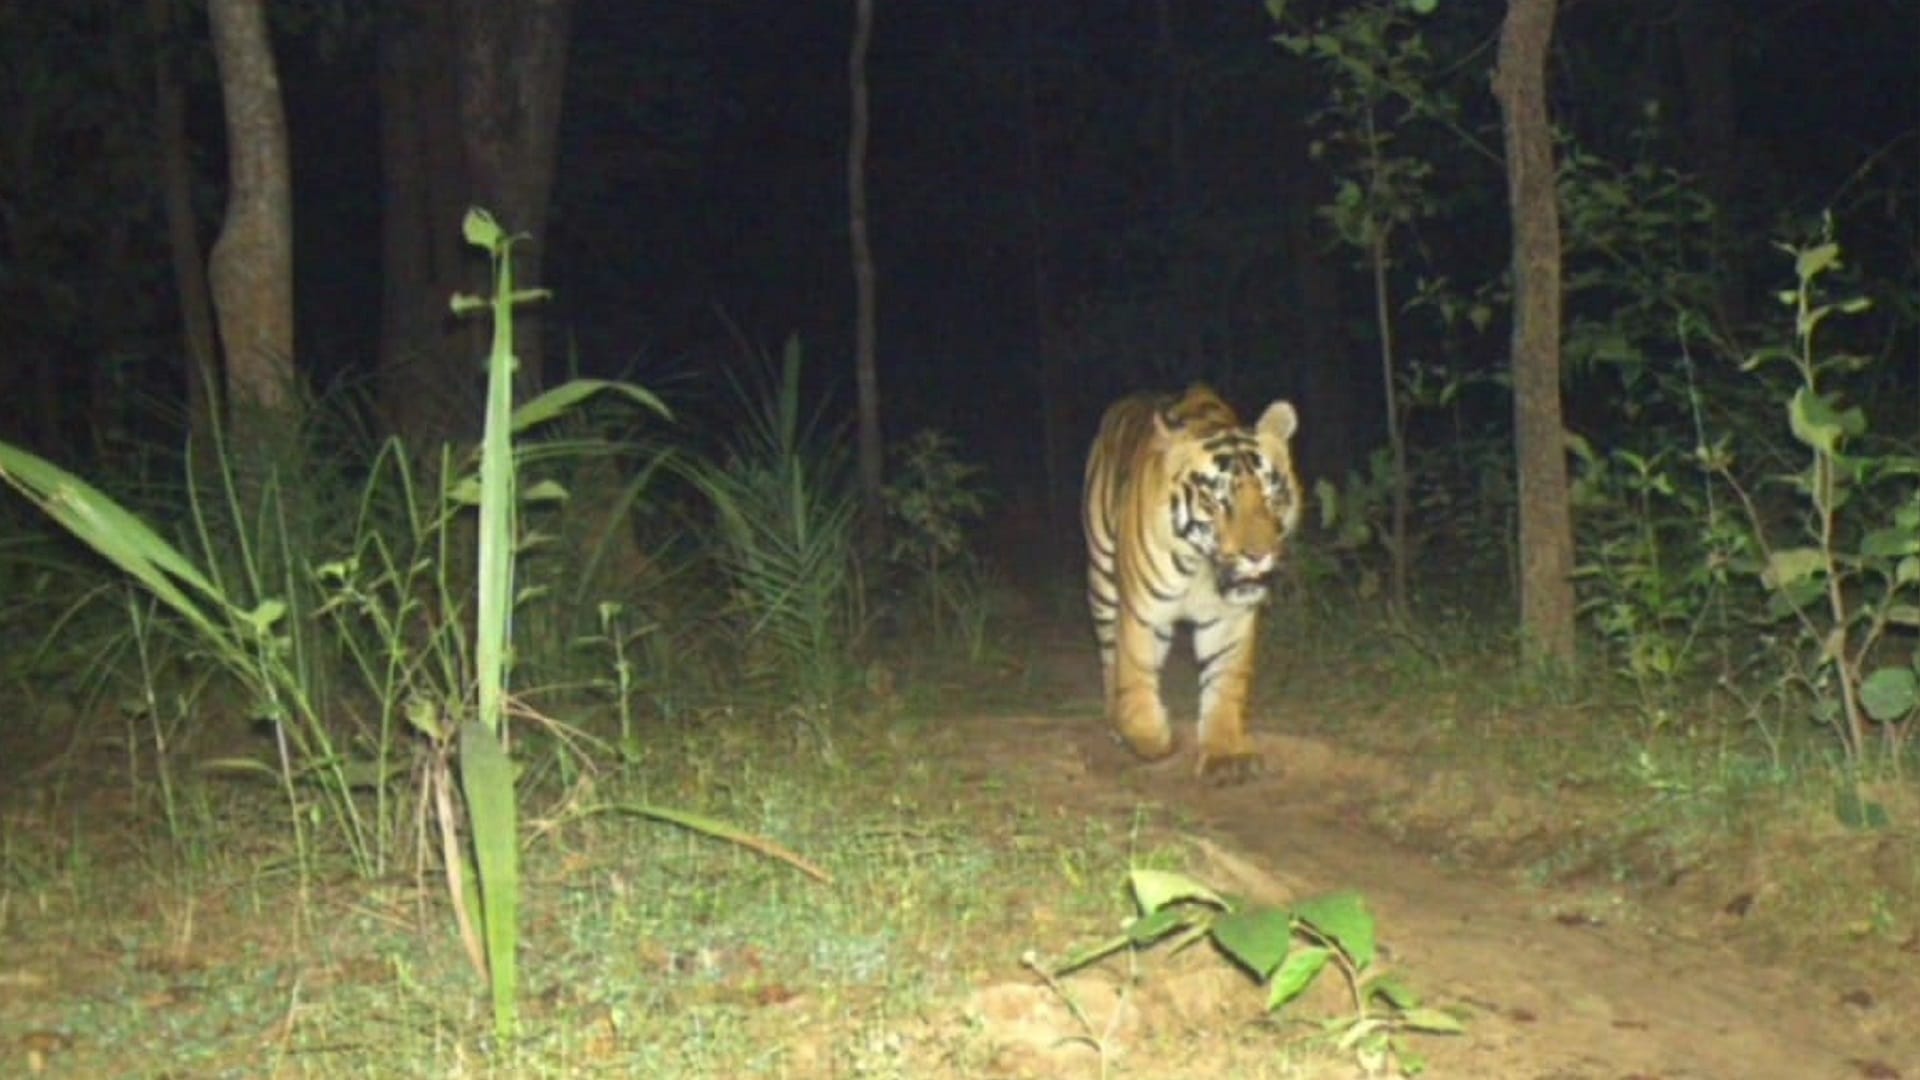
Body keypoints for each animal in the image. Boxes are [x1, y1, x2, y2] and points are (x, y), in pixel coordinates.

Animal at [1081, 384, 1302, 780]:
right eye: (1219, 501)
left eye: (1270, 495)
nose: (1259, 554)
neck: (1202, 568)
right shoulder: (1143, 613)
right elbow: (1135, 673)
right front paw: (1148, 736)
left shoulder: (1230, 619)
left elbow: (1226, 685)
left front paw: (1226, 754)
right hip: (1102, 581)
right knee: (1109, 658)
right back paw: (1115, 723)